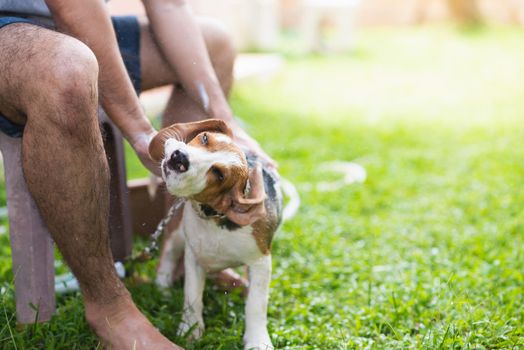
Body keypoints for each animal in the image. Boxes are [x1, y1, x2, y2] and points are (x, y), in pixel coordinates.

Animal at [148, 119, 282, 348]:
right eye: (204, 138)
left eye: (219, 175)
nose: (179, 157)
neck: (215, 220)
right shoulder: (194, 257)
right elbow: (192, 297)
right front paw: (190, 330)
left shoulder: (261, 262)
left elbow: (256, 305)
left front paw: (257, 341)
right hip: (177, 234)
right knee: (168, 254)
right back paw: (162, 288)